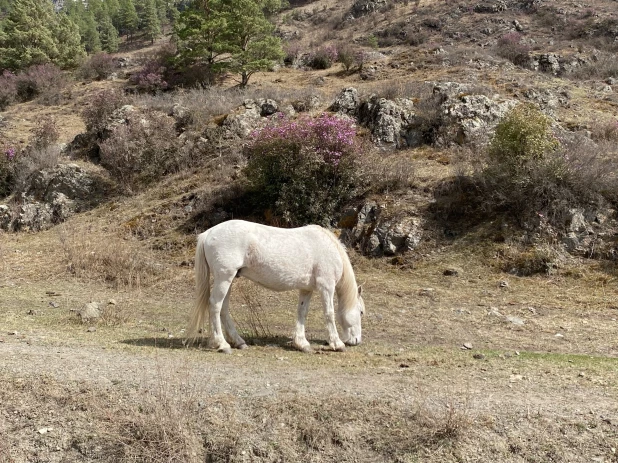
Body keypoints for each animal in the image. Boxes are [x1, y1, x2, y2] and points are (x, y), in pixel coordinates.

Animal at [186, 219, 360, 354]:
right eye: (361, 312)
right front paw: (337, 344)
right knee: (215, 305)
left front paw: (302, 344)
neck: (328, 247)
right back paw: (222, 344)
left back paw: (238, 342)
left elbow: (302, 312)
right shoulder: (326, 286)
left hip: (228, 280)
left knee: (223, 309)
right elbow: (329, 314)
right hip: (224, 278)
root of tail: (208, 233)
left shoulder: (306, 289)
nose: (357, 341)